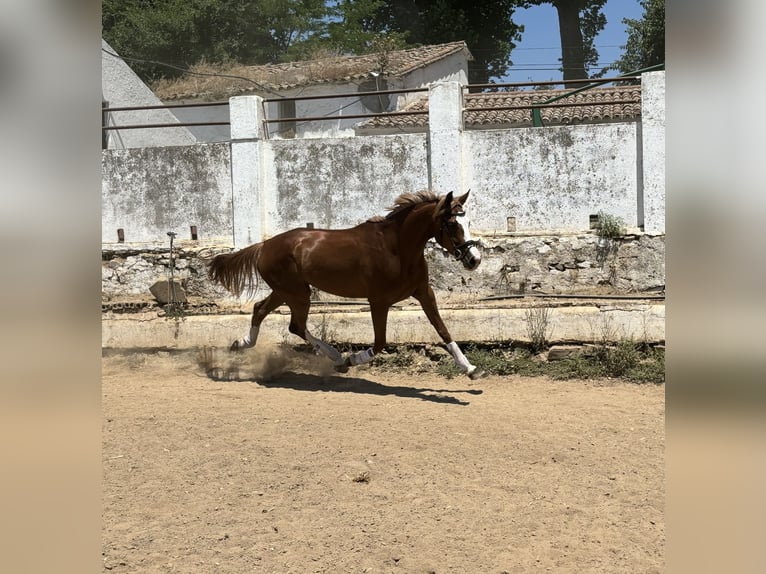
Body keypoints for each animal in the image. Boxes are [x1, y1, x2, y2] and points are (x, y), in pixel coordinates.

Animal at [208, 189, 486, 380]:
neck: (397, 247)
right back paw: (334, 356)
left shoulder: (424, 292)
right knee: (295, 325)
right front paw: (350, 360)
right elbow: (380, 342)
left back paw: (241, 343)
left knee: (262, 311)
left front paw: (471, 368)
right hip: (297, 293)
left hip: (285, 291)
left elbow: (443, 330)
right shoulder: (378, 301)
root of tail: (264, 245)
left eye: (469, 222)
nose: (474, 259)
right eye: (452, 224)